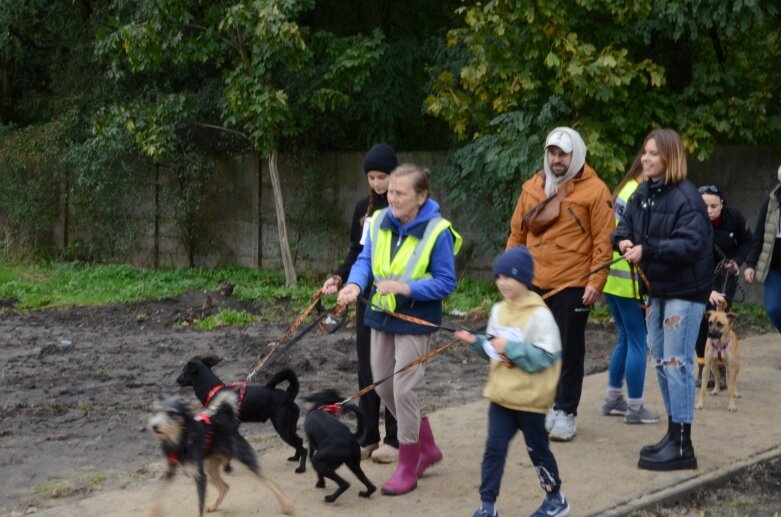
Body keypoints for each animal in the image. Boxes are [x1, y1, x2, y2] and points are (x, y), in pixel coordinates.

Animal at [146, 392, 292, 516]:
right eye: (155, 411)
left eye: (170, 412)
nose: (154, 426)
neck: (179, 440)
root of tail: (229, 423)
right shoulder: (170, 472)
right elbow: (157, 497)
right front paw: (154, 512)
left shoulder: (200, 477)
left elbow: (199, 507)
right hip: (210, 470)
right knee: (225, 487)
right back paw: (213, 505)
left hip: (244, 463)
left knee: (270, 482)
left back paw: (287, 506)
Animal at [177, 354, 308, 472]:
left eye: (184, 371)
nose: (176, 380)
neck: (213, 391)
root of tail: (289, 396)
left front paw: (227, 467)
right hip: (290, 427)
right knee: (300, 442)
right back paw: (295, 458)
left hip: (283, 429)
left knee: (303, 448)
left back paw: (301, 468)